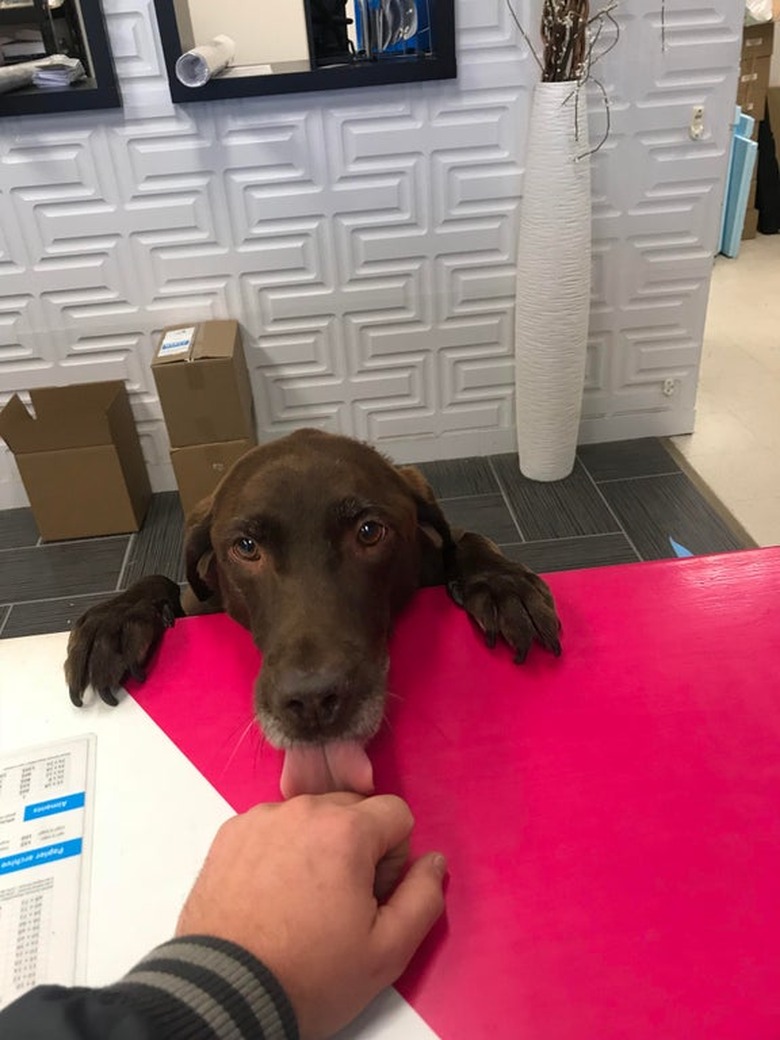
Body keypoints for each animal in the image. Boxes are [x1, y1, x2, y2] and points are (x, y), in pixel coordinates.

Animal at [64, 430, 557, 794]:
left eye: (369, 531)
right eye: (246, 546)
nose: (313, 702)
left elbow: (467, 539)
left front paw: (502, 582)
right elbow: (162, 583)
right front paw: (117, 619)